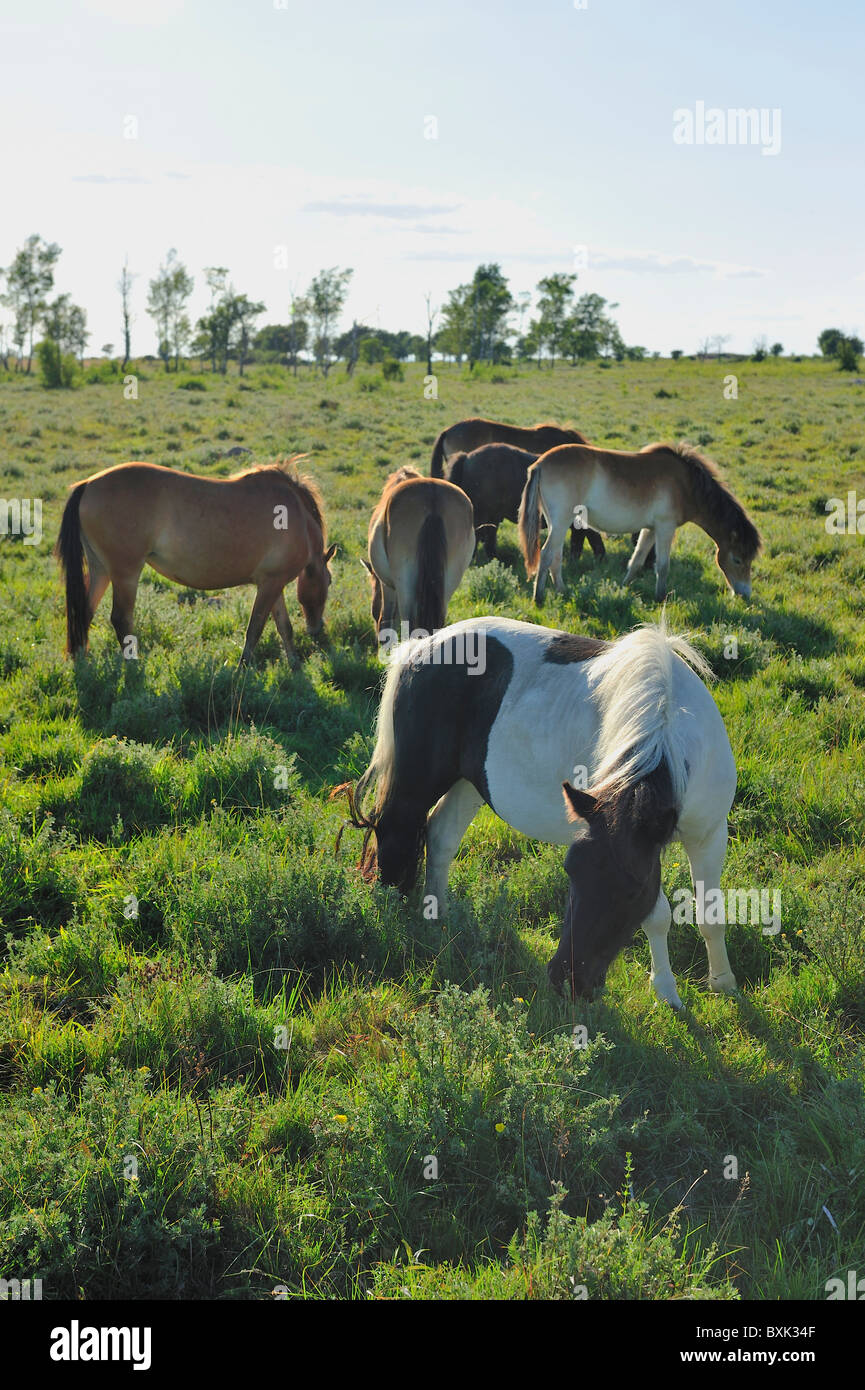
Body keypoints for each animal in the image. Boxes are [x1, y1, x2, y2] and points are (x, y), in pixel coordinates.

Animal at [54, 456, 336, 664]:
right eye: (330, 581)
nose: (317, 629)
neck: (298, 517)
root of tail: (88, 484)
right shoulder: (271, 585)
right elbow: (255, 628)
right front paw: (242, 670)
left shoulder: (271, 584)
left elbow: (283, 627)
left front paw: (295, 666)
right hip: (125, 574)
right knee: (121, 619)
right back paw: (134, 667)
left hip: (101, 570)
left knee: (84, 611)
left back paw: (82, 664)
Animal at [341, 616, 738, 1009]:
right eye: (571, 873)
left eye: (629, 891)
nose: (567, 981)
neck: (667, 734)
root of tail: (420, 647)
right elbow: (658, 916)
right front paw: (666, 989)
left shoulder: (708, 836)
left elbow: (710, 914)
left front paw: (722, 982)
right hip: (416, 783)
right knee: (396, 830)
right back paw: (394, 910)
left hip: (469, 783)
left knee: (440, 836)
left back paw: (437, 916)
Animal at [518, 440, 761, 605]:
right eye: (737, 560)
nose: (744, 594)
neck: (687, 485)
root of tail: (540, 463)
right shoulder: (665, 528)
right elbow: (662, 565)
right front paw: (661, 597)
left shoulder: (651, 529)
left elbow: (637, 560)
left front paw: (623, 587)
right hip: (561, 522)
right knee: (547, 554)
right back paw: (538, 597)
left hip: (556, 524)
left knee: (556, 556)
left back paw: (561, 590)